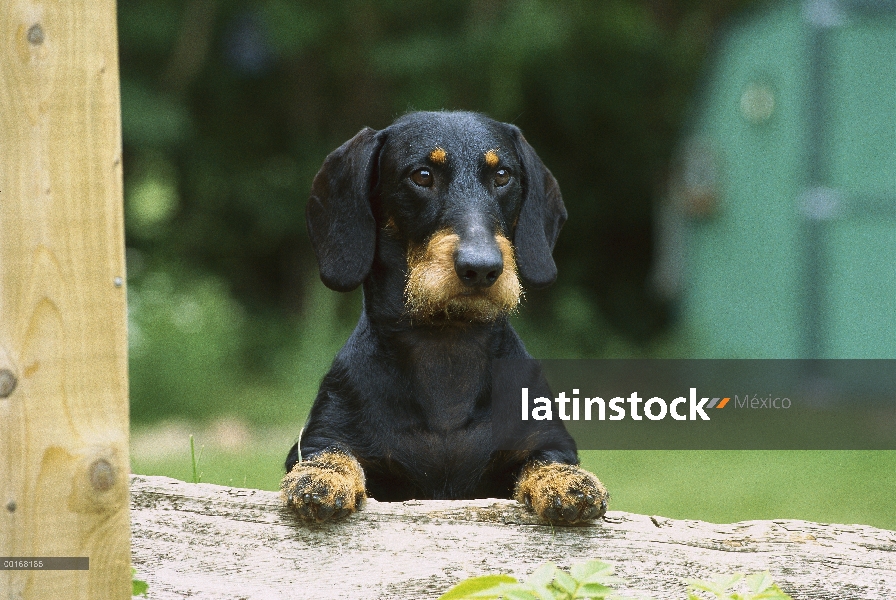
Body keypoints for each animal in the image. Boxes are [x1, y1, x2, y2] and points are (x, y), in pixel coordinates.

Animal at [282, 110, 608, 524]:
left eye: (502, 175)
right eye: (422, 175)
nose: (482, 268)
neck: (447, 347)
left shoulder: (548, 439)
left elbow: (548, 459)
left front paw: (567, 482)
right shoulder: (322, 436)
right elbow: (330, 453)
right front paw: (321, 478)